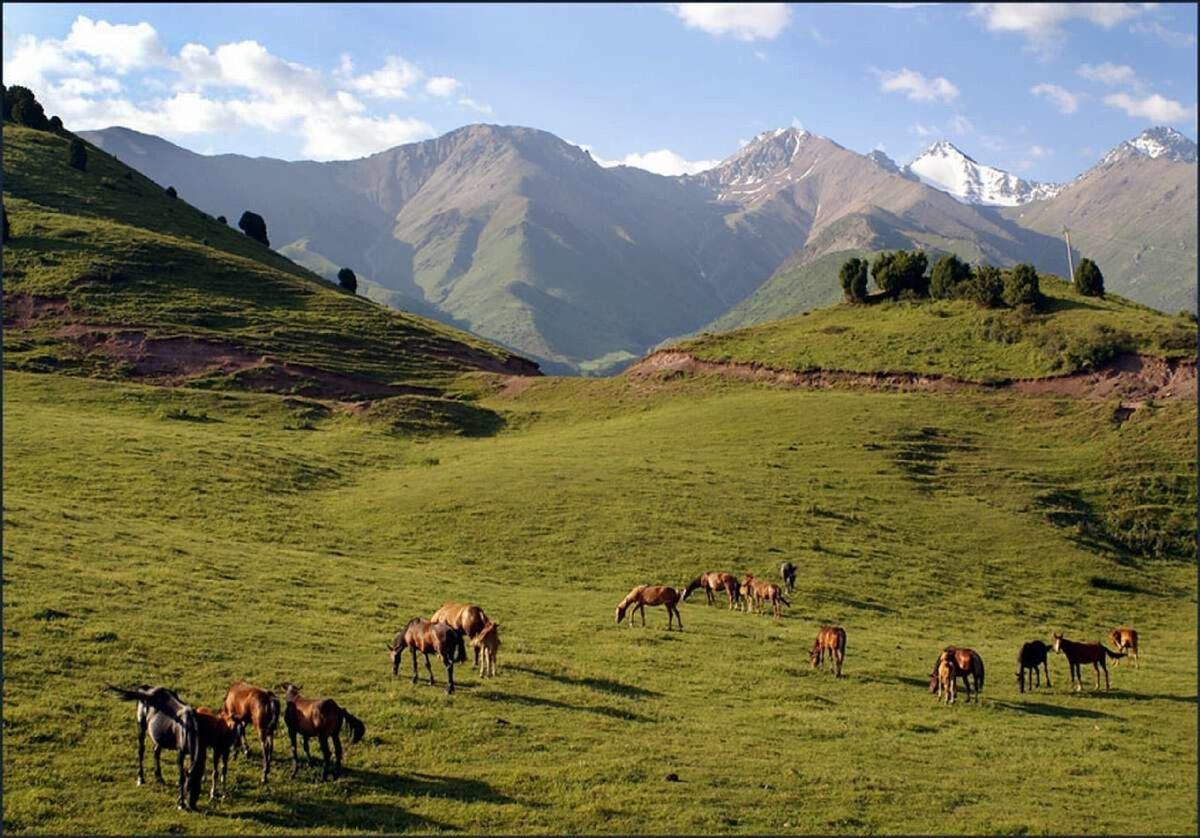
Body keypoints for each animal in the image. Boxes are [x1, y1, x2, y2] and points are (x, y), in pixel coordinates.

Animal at [108, 677, 204, 811]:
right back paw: (140, 778)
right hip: (141, 726)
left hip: (159, 737)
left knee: (156, 752)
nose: (192, 806)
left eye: (198, 786)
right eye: (187, 787)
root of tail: (146, 690)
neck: (188, 727)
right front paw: (180, 803)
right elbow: (181, 776)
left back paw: (159, 778)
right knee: (141, 751)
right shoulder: (180, 752)